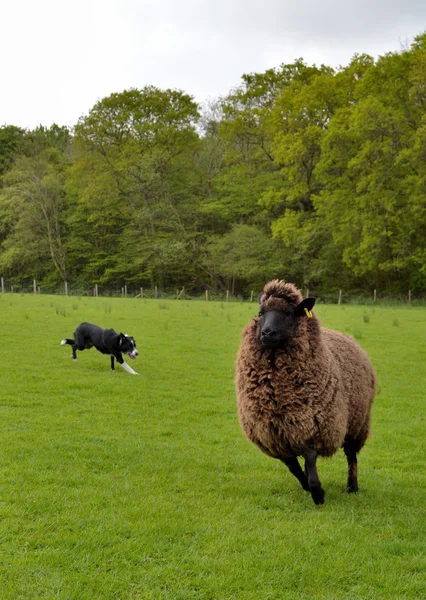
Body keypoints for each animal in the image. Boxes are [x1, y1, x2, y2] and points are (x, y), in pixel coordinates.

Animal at [235, 278, 378, 504]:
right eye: (260, 312)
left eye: (290, 314)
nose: (267, 333)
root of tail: (347, 336)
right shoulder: (276, 435)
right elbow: (294, 467)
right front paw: (306, 486)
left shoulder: (314, 425)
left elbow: (310, 459)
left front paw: (318, 493)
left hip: (358, 422)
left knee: (351, 456)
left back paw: (352, 486)